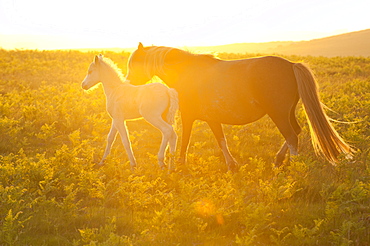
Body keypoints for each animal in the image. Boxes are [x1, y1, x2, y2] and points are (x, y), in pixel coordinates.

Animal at [125, 43, 352, 170]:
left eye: (133, 64)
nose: (128, 82)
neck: (186, 72)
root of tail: (290, 65)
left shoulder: (188, 116)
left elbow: (186, 141)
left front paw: (181, 164)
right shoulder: (212, 119)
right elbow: (221, 141)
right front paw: (232, 165)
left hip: (278, 114)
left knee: (291, 136)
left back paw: (292, 166)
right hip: (287, 113)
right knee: (295, 132)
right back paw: (279, 160)